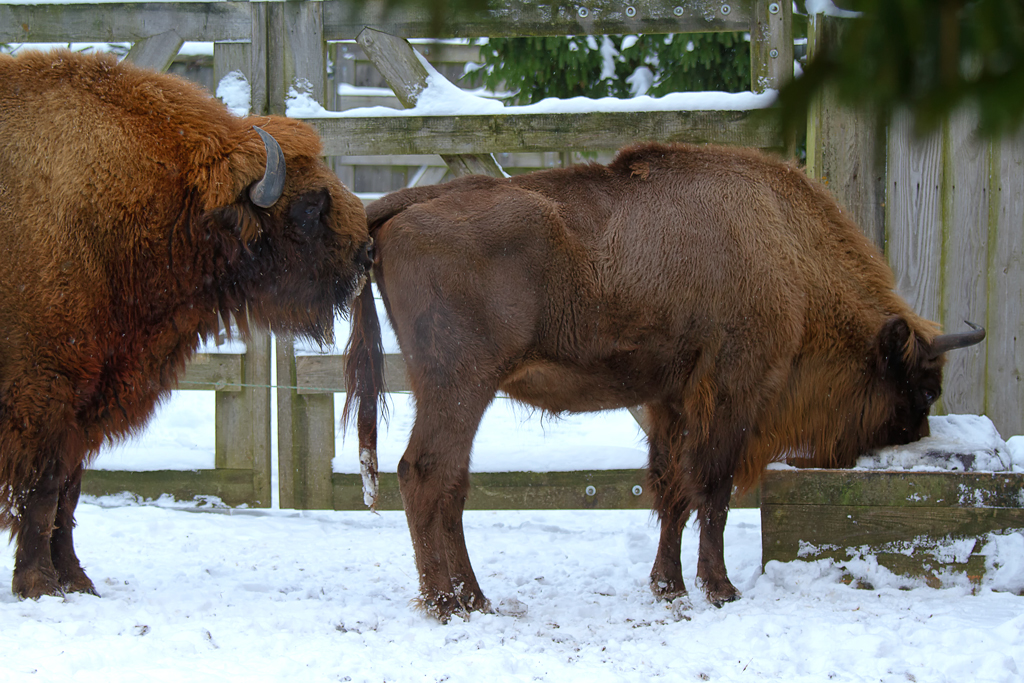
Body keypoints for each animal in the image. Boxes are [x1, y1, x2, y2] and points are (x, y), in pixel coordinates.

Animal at [0, 49, 372, 598]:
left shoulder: (86, 402)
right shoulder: (44, 391)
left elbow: (68, 491)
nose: (366, 253)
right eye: (308, 206)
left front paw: (77, 581)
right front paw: (40, 584)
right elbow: (44, 489)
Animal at [348, 141, 987, 622]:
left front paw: (668, 586)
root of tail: (398, 207)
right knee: (425, 473)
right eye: (921, 389)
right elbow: (714, 491)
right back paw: (447, 604)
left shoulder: (670, 402)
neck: (787, 250)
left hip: (453, 392)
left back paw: (474, 599)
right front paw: (721, 590)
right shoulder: (732, 393)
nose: (911, 436)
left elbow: (671, 489)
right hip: (461, 387)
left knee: (450, 483)